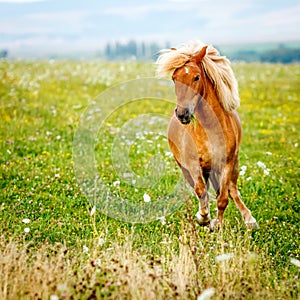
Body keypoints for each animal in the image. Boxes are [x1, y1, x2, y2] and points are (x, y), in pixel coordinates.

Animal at [156, 41, 256, 230]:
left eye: (196, 77)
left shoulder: (227, 163)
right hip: (185, 167)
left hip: (233, 164)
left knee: (232, 189)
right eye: (174, 78)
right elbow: (201, 191)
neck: (210, 128)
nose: (183, 114)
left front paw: (217, 225)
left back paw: (249, 220)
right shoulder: (193, 164)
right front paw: (203, 218)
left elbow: (223, 198)